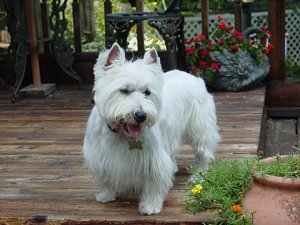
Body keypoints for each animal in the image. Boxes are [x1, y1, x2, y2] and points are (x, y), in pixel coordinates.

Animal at [82, 43, 220, 215]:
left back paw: (199, 175)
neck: (121, 134)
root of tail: (196, 78)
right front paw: (106, 195)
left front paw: (150, 205)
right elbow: (105, 177)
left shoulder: (153, 158)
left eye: (147, 92)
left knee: (204, 152)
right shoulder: (98, 155)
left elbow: (154, 183)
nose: (141, 115)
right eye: (124, 90)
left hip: (200, 129)